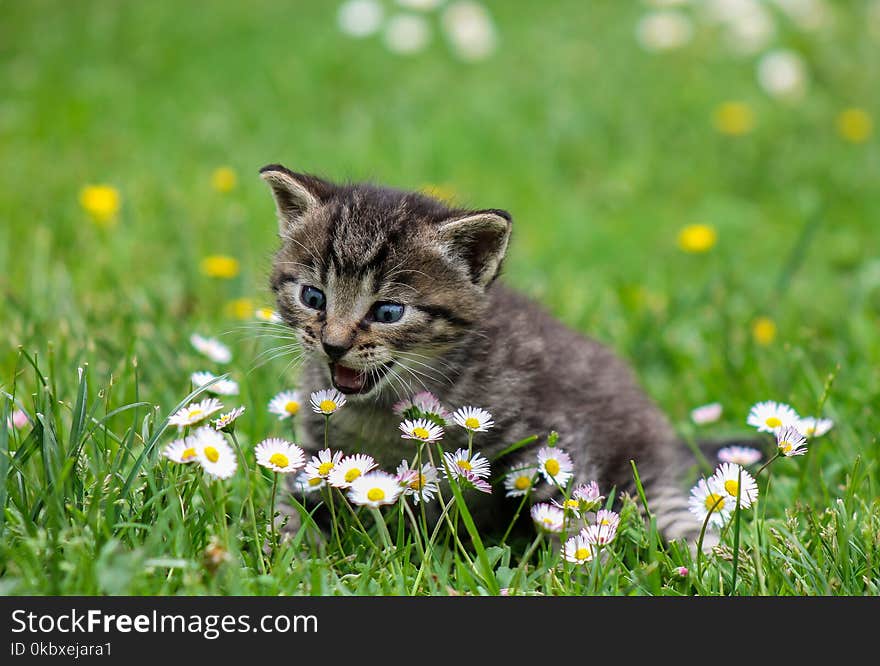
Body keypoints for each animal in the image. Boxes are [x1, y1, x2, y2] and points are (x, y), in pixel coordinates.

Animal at [260, 165, 700, 540]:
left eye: (388, 312)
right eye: (313, 297)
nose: (333, 345)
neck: (382, 410)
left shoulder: (552, 439)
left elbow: (568, 512)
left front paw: (572, 565)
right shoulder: (317, 451)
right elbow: (291, 504)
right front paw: (287, 546)